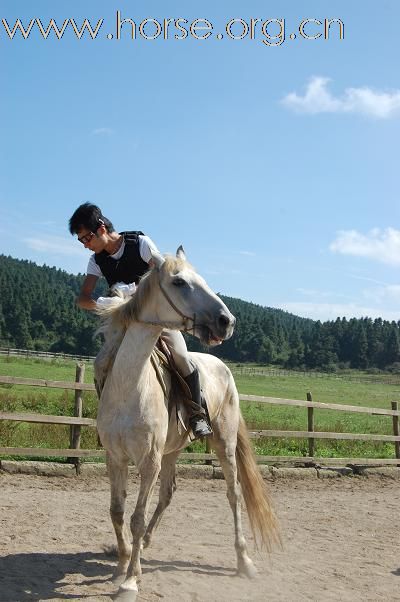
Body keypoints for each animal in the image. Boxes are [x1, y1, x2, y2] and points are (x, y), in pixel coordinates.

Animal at [96, 246, 278, 596]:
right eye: (179, 281)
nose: (226, 321)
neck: (130, 387)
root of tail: (223, 366)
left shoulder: (149, 461)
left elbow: (136, 517)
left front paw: (130, 580)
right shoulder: (116, 457)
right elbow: (117, 511)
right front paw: (123, 563)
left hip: (224, 443)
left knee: (234, 494)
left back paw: (244, 562)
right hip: (172, 450)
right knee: (168, 492)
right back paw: (147, 544)